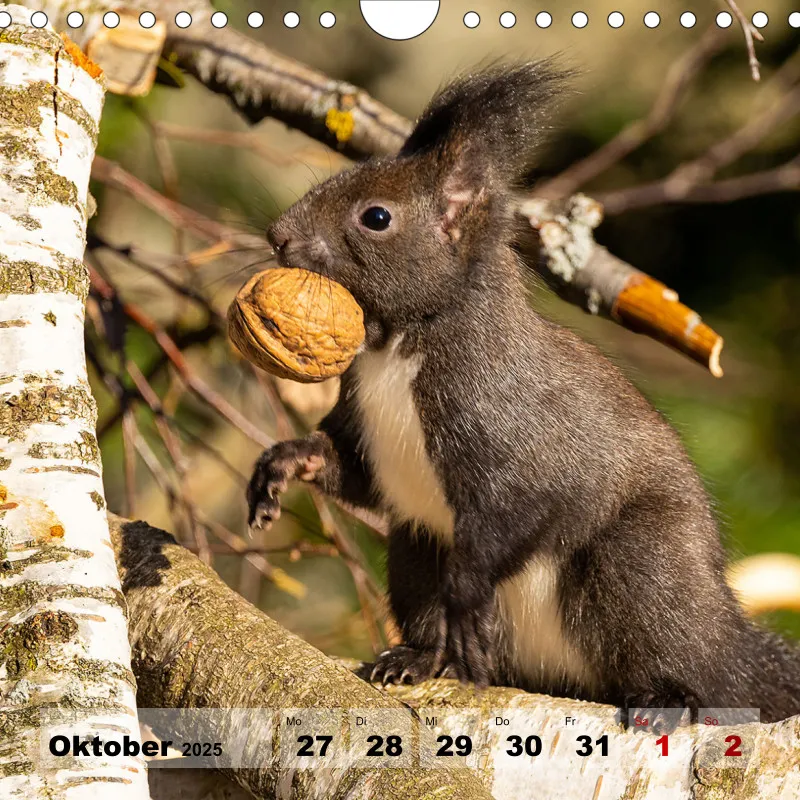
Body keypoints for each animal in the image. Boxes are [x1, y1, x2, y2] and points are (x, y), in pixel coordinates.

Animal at [245, 63, 800, 724]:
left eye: (376, 217)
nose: (277, 235)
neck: (398, 344)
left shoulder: (511, 425)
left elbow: (523, 507)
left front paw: (467, 599)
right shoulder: (366, 431)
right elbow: (353, 472)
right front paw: (284, 464)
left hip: (644, 566)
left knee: (690, 658)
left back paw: (668, 697)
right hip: (416, 547)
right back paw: (416, 659)